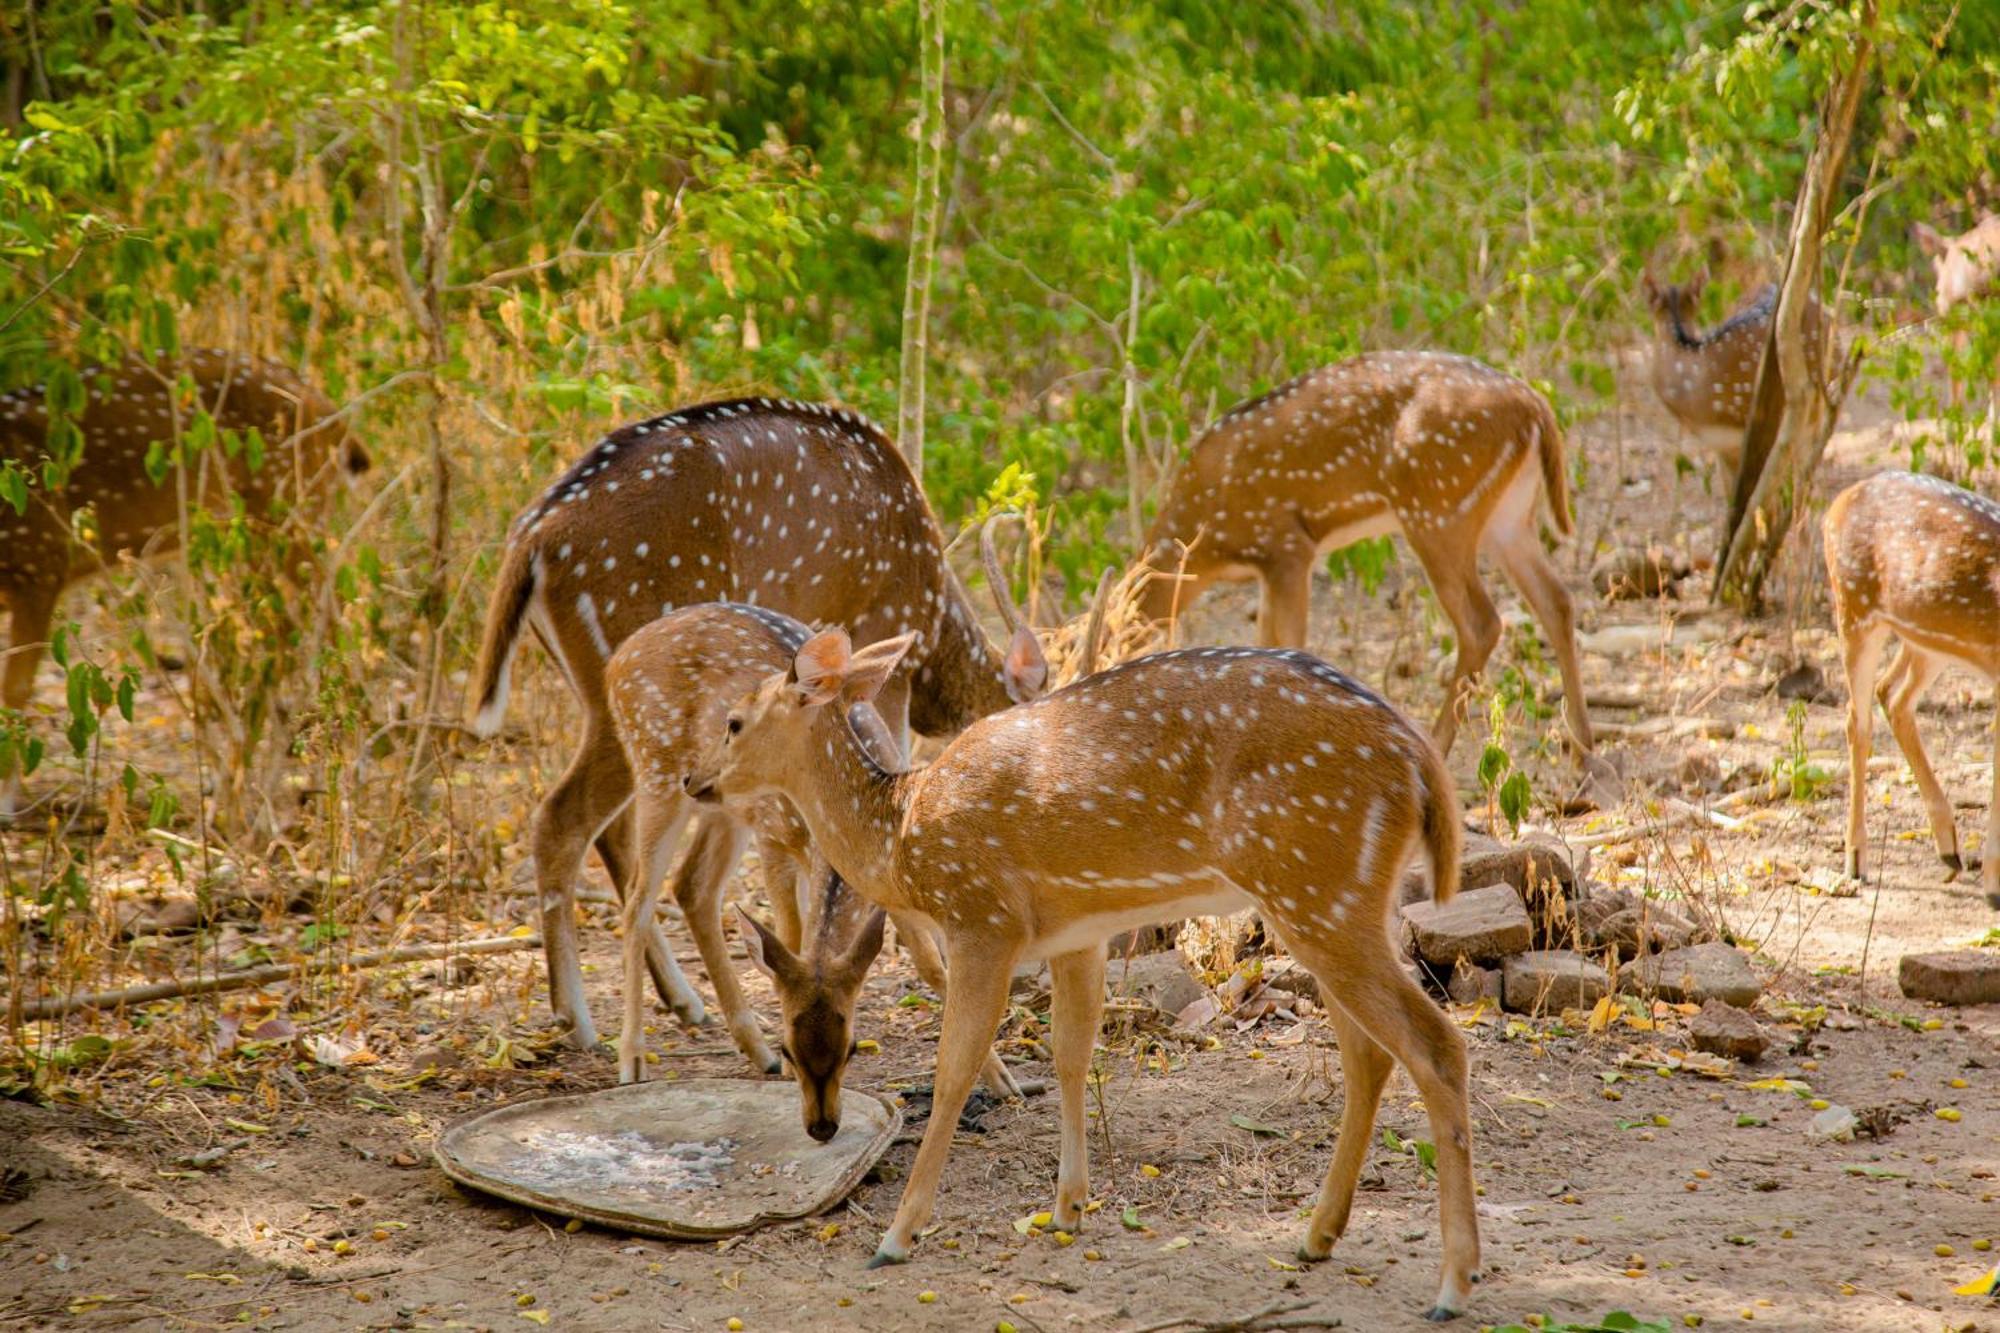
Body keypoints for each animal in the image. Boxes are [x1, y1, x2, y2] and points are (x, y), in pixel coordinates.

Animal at [0, 348, 364, 816]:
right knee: (279, 637)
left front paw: (5, 799)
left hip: (288, 511)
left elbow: (15, 690)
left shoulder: (41, 563)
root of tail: (335, 417)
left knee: (328, 626)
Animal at [468, 394, 1048, 1048]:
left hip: (600, 694)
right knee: (564, 819)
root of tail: (531, 538)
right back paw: (581, 1019)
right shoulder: (884, 630)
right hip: (621, 668)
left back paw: (682, 1001)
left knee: (613, 833)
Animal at [688, 624, 1488, 1320]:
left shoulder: (983, 919)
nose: (694, 778)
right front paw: (1067, 1208)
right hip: (1335, 899)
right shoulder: (1078, 931)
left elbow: (955, 1069)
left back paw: (1453, 1282)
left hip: (1316, 885)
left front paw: (898, 1234)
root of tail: (1421, 762)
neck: (901, 837)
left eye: (733, 721)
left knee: (1437, 1044)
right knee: (1369, 1054)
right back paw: (1317, 1235)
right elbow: (1072, 1053)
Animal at [1144, 348, 1592, 756]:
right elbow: (1265, 639)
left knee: (1482, 622)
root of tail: (1535, 406)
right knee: (1556, 600)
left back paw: (1438, 745)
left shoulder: (1286, 544)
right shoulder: (1269, 568)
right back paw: (1581, 752)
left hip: (1439, 508)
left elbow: (1290, 639)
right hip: (1508, 517)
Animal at [1832, 466, 2000, 904]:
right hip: (1854, 608)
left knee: (1892, 694)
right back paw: (1856, 861)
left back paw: (1950, 851)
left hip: (1925, 639)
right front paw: (1994, 887)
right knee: (1857, 719)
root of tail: (1844, 496)